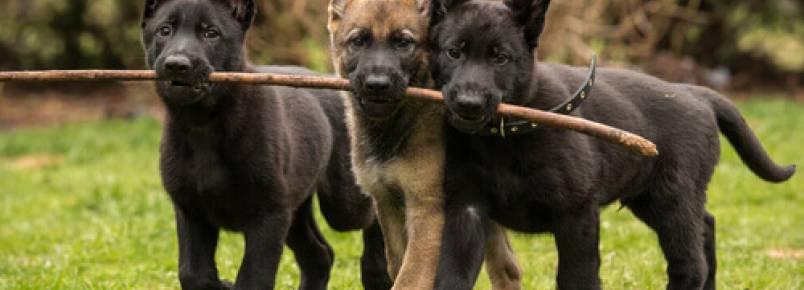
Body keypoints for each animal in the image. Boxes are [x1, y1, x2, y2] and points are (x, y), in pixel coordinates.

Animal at [141, 0, 392, 290]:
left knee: (371, 212)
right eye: (164, 30)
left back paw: (376, 271)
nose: (176, 64)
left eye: (211, 33)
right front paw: (222, 283)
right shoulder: (191, 211)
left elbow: (253, 277)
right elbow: (194, 273)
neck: (204, 125)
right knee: (320, 255)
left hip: (342, 204)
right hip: (296, 208)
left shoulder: (268, 216)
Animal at [326, 0, 520, 290]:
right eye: (358, 41)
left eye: (403, 42)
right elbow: (397, 266)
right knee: (507, 267)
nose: (377, 85)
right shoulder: (389, 206)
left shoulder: (428, 213)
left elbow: (409, 279)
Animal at [430, 0, 796, 290]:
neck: (502, 140)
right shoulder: (465, 212)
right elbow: (452, 277)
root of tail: (693, 91)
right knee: (706, 226)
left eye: (501, 58)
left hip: (672, 200)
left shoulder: (576, 215)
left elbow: (577, 279)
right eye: (454, 52)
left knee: (691, 265)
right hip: (650, 198)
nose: (468, 103)